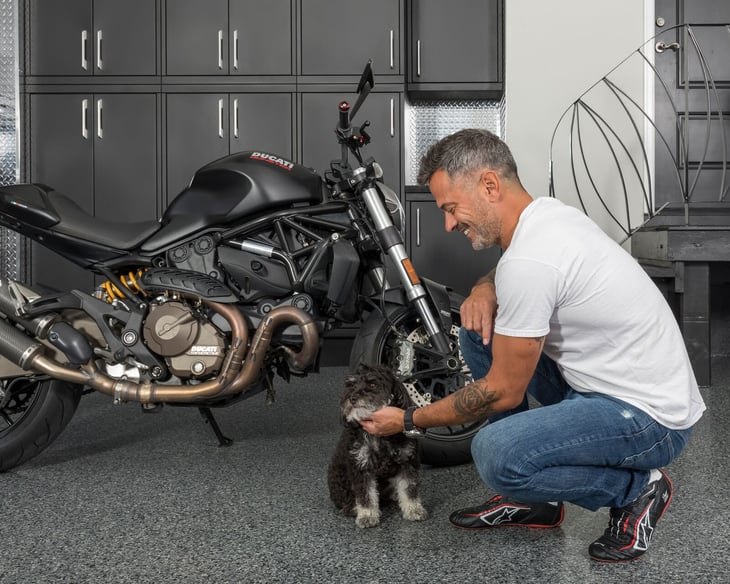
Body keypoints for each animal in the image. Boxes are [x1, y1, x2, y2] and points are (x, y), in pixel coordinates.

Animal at [326, 362, 426, 528]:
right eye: (351, 385)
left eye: (372, 384)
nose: (352, 398)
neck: (381, 439)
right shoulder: (361, 466)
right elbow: (365, 495)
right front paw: (367, 515)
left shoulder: (407, 462)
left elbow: (409, 489)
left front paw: (414, 510)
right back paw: (352, 508)